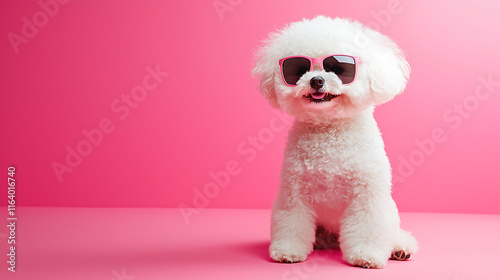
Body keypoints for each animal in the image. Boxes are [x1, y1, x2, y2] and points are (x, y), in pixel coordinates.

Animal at [254, 15, 418, 270]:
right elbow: (292, 221)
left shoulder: (367, 195)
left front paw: (366, 255)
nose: (317, 80)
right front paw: (287, 251)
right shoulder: (294, 193)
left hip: (390, 211)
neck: (328, 130)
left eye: (339, 69)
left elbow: (368, 224)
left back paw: (400, 247)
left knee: (393, 232)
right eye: (300, 69)